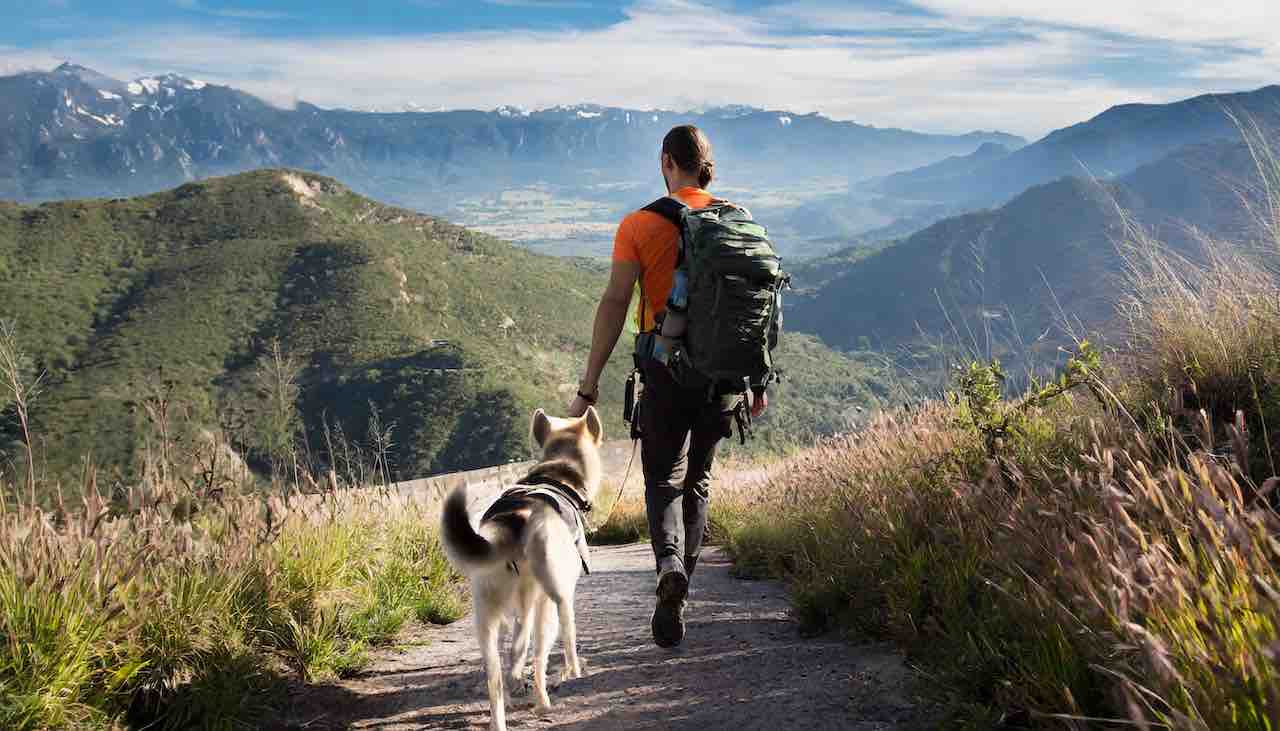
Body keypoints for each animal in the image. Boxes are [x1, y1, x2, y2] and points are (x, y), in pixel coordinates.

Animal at [440, 407, 604, 731]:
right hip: (553, 603)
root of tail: (513, 519)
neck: (558, 474)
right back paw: (549, 696)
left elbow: (515, 652)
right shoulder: (551, 600)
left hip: (487, 616)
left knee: (498, 675)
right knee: (546, 653)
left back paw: (503, 715)